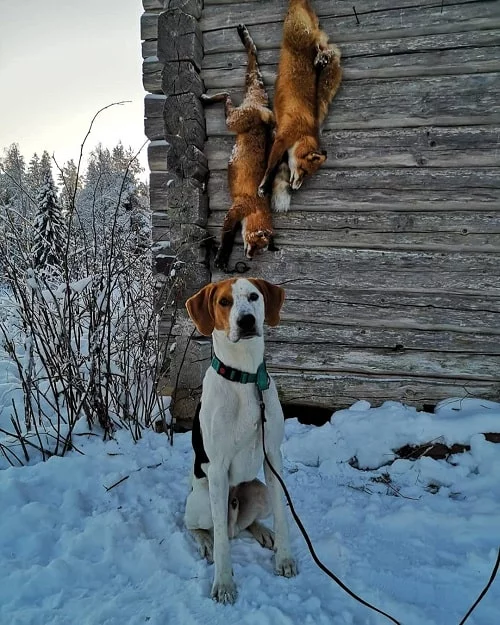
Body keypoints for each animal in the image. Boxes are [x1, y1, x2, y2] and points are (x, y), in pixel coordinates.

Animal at [187, 276, 296, 600]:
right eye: (224, 302)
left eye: (253, 297)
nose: (246, 320)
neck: (246, 377)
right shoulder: (218, 469)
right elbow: (222, 541)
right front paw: (224, 583)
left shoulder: (273, 457)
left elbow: (283, 517)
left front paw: (284, 558)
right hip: (203, 500)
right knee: (199, 526)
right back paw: (205, 540)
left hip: (259, 492)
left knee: (245, 524)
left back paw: (263, 531)